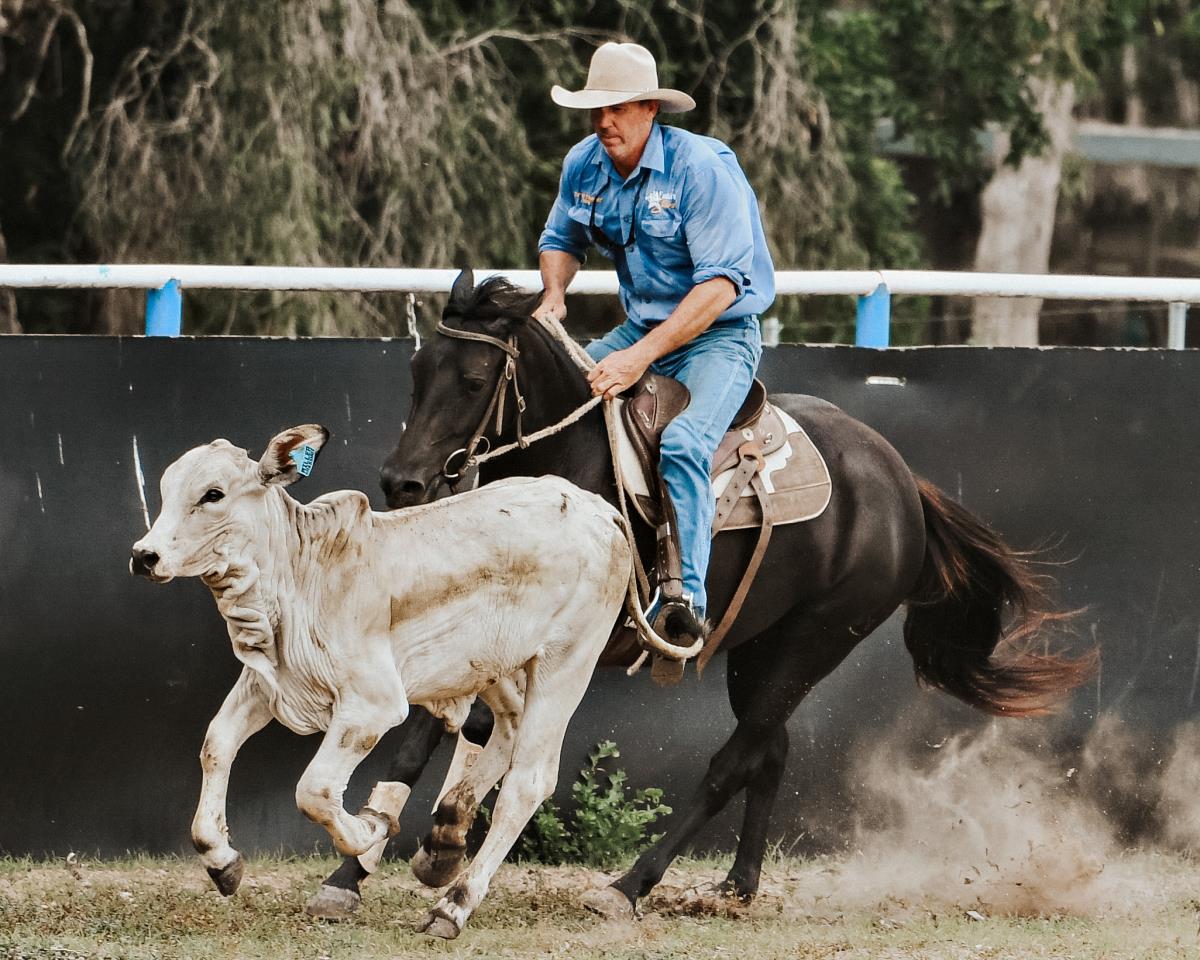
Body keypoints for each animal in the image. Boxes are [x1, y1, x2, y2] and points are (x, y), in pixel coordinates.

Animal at [309, 269, 1096, 920]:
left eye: (474, 380)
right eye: (418, 372)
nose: (403, 481)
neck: (569, 474)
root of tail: (904, 485)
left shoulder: (569, 646)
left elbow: (475, 732)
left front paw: (441, 850)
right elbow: (421, 739)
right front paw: (355, 873)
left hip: (815, 641)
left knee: (733, 762)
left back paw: (629, 885)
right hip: (761, 651)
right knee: (769, 749)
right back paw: (737, 885)